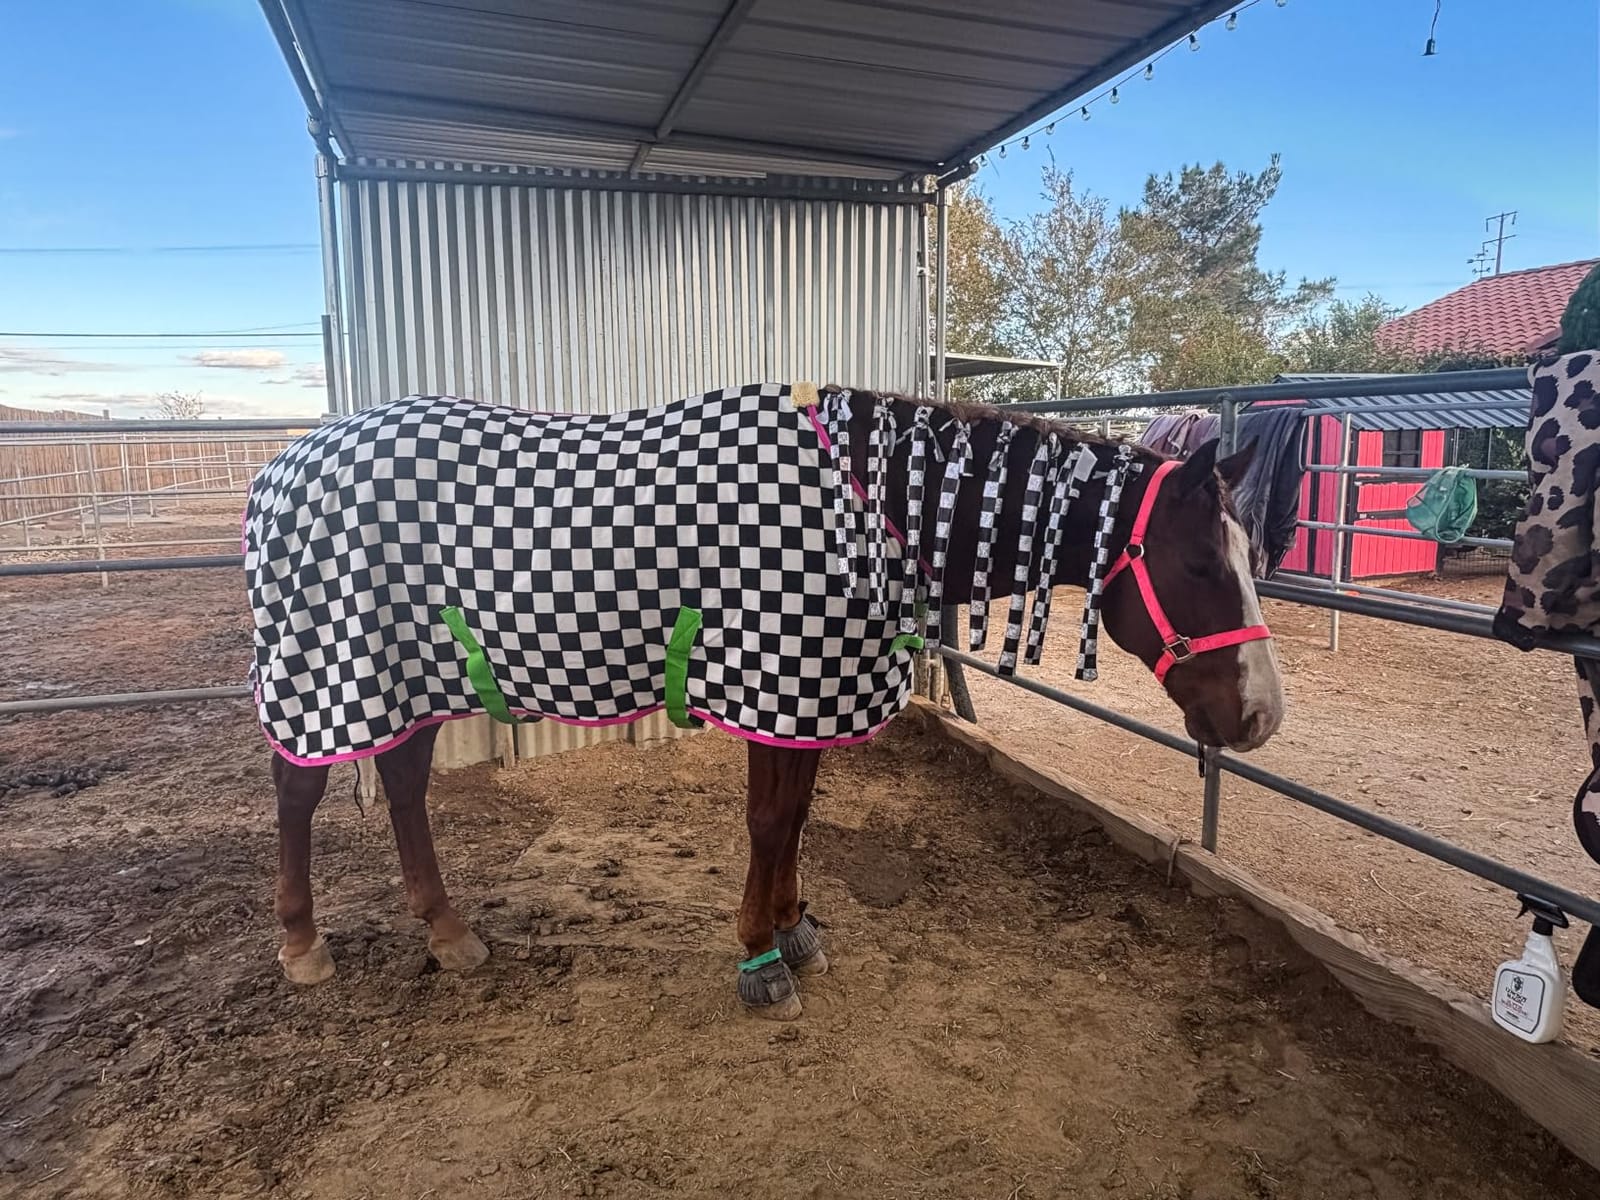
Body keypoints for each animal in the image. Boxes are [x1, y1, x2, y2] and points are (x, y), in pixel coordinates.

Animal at [246, 383, 1283, 1020]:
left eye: (1252, 559)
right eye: (1200, 564)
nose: (1260, 718)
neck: (857, 510)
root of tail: (281, 470)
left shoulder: (815, 693)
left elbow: (799, 816)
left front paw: (795, 929)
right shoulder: (775, 685)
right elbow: (770, 819)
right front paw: (759, 957)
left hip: (410, 677)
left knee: (403, 784)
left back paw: (449, 932)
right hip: (329, 671)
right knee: (300, 788)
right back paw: (301, 944)